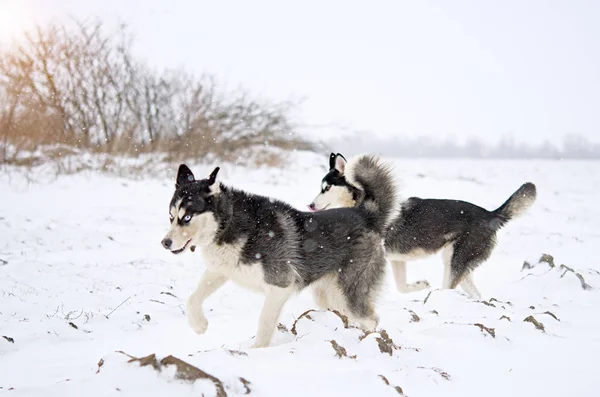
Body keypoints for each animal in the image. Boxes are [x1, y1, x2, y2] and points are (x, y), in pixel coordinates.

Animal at [162, 155, 400, 346]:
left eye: (187, 217)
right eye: (171, 216)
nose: (165, 242)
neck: (228, 223)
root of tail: (365, 214)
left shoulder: (280, 285)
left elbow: (265, 323)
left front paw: (257, 352)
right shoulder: (220, 270)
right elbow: (192, 299)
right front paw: (199, 324)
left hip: (346, 292)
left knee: (371, 319)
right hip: (327, 295)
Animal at [310, 153, 536, 298]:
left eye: (326, 188)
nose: (310, 205)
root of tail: (491, 214)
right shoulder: (396, 260)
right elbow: (401, 287)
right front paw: (419, 286)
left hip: (455, 262)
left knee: (449, 289)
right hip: (457, 264)